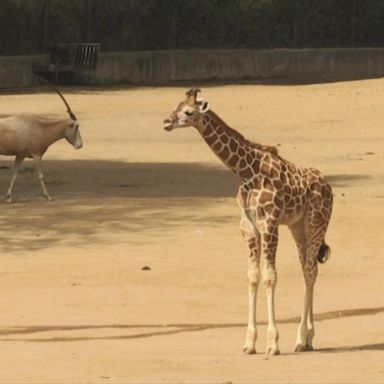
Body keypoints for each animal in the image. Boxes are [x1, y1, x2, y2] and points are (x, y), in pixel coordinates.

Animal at [162, 88, 332, 356]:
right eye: (176, 106)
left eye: (188, 112)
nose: (167, 122)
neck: (246, 171)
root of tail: (328, 186)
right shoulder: (248, 227)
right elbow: (252, 276)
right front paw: (250, 342)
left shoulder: (270, 224)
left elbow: (270, 276)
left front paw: (272, 343)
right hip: (298, 227)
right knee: (308, 268)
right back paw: (306, 339)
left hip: (317, 223)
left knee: (310, 270)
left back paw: (302, 337)